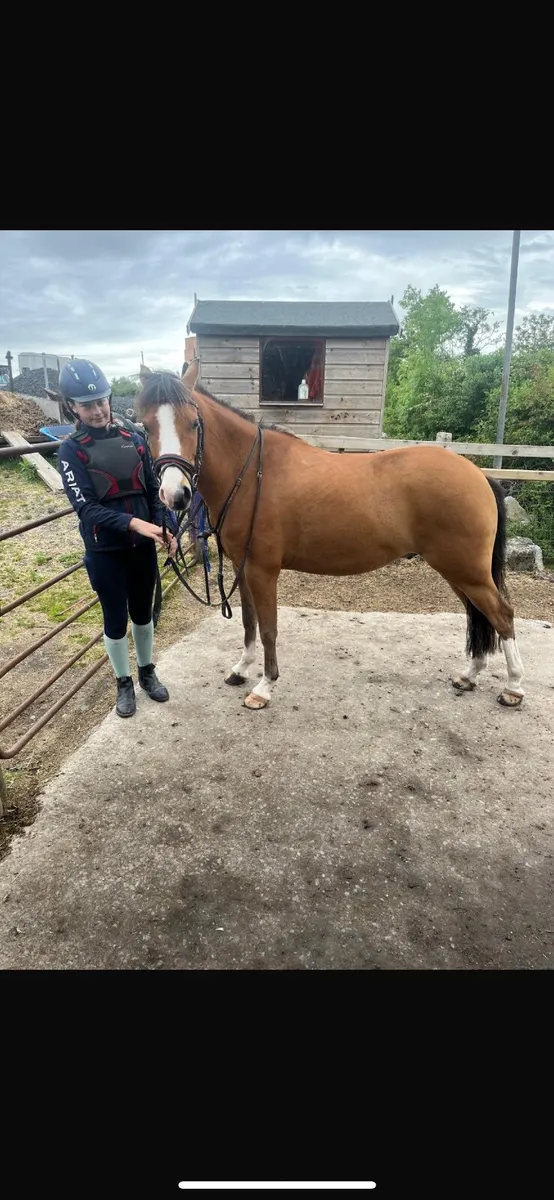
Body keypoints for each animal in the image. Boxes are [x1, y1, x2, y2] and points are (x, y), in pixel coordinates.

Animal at [135, 360, 525, 712]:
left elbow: (269, 628)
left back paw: (513, 688)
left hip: (467, 571)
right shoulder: (241, 568)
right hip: (459, 572)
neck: (252, 475)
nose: (176, 495)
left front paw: (264, 686)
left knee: (502, 615)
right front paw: (241, 670)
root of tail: (478, 474)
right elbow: (249, 622)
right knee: (479, 614)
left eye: (193, 423)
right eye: (146, 426)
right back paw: (470, 675)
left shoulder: (263, 571)